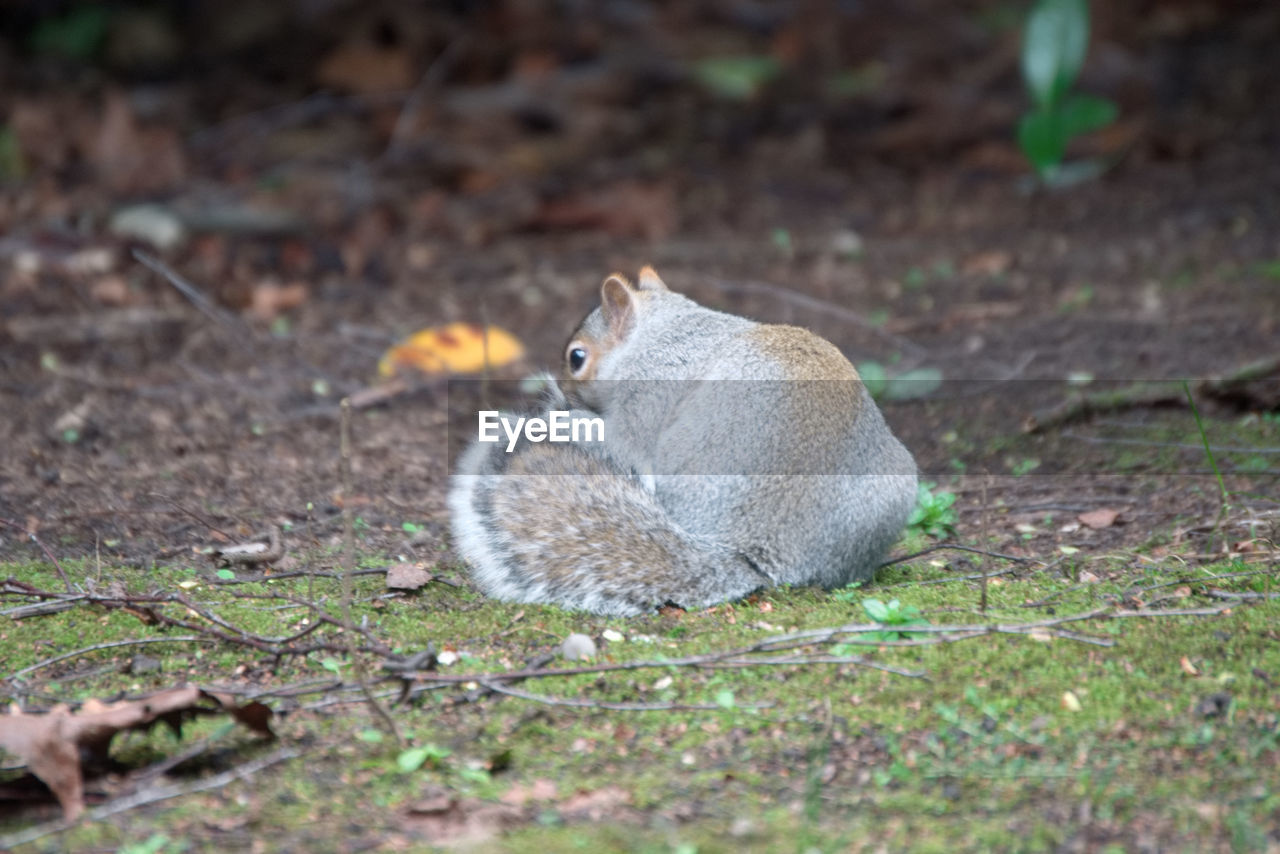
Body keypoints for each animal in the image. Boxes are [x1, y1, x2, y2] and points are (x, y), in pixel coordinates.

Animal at [445, 267, 916, 614]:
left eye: (576, 357)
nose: (566, 391)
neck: (666, 331)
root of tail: (756, 548)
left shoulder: (645, 397)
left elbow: (622, 440)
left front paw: (565, 415)